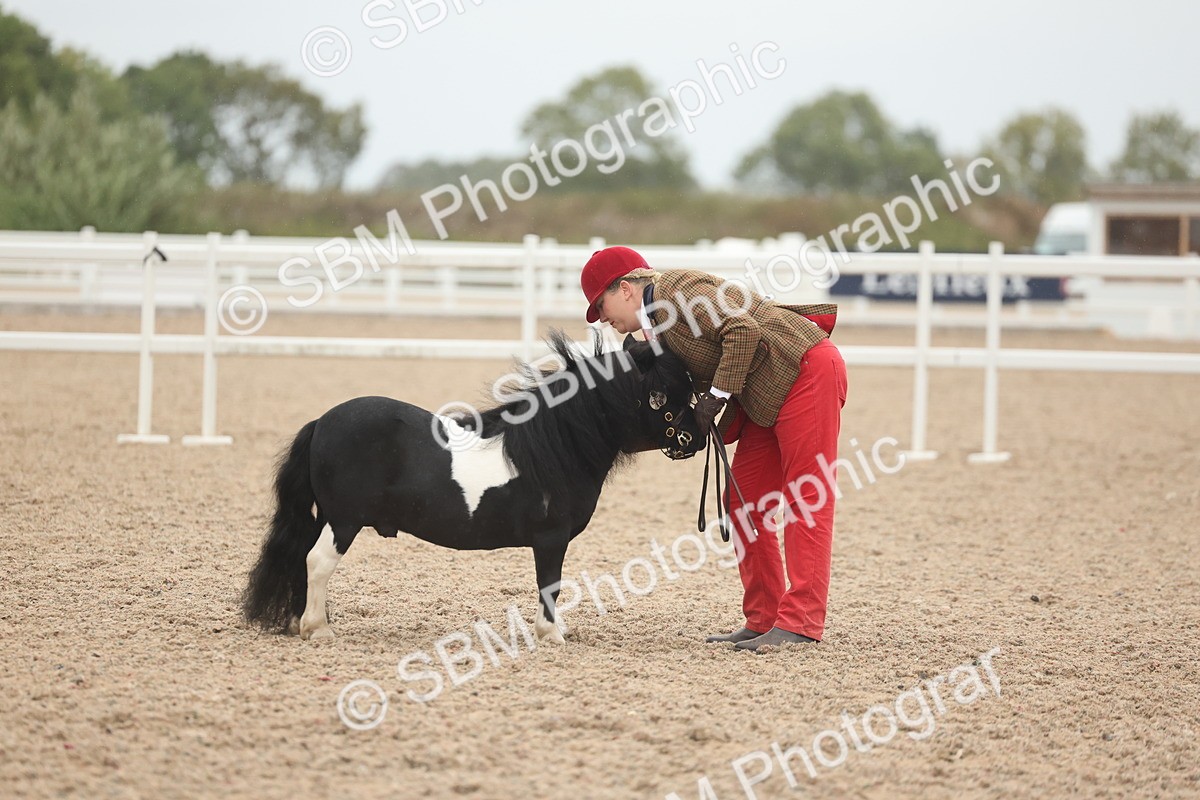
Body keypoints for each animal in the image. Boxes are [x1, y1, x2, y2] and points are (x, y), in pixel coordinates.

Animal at [241, 330, 704, 643]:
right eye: (667, 393)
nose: (698, 439)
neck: (556, 447)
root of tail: (322, 422)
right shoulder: (550, 539)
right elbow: (550, 583)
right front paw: (551, 634)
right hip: (344, 521)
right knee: (317, 561)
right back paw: (317, 628)